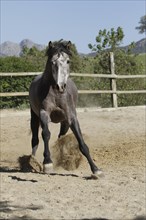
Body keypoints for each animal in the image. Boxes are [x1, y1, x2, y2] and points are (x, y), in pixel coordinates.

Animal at [28, 40, 101, 175]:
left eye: (68, 61)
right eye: (52, 61)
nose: (60, 86)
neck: (56, 93)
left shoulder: (71, 117)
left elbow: (81, 141)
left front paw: (96, 170)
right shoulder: (44, 113)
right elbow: (46, 134)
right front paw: (47, 163)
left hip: (64, 122)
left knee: (61, 138)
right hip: (34, 117)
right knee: (35, 139)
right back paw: (32, 160)